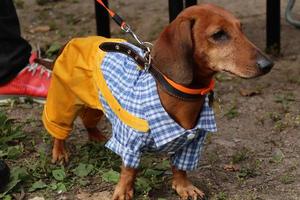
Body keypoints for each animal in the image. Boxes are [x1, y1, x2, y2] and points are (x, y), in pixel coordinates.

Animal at [42, 3, 272, 200]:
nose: (268, 65)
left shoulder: (192, 143)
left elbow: (180, 167)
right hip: (64, 101)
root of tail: (74, 41)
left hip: (96, 104)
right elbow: (129, 170)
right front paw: (123, 191)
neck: (179, 95)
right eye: (218, 34)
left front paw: (183, 187)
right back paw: (60, 152)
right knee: (59, 130)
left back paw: (97, 137)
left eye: (241, 29)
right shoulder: (131, 143)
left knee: (88, 121)